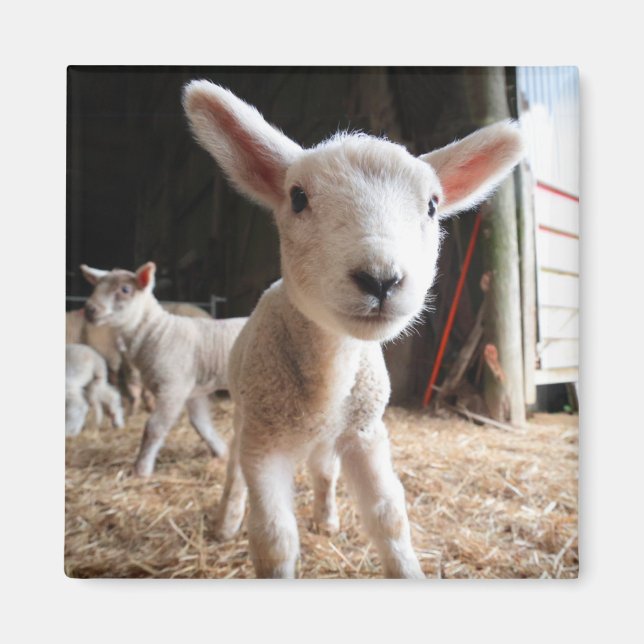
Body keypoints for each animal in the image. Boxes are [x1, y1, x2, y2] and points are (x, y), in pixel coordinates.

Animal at [80, 263, 247, 476]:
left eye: (125, 289)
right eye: (96, 286)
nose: (90, 309)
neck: (159, 332)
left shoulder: (173, 386)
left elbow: (154, 427)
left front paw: (142, 469)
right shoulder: (193, 390)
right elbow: (200, 423)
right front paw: (221, 451)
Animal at [182, 80, 524, 579]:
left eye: (432, 205)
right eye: (298, 197)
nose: (381, 279)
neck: (331, 370)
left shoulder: (365, 432)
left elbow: (389, 516)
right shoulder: (265, 444)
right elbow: (274, 539)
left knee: (324, 471)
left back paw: (326, 518)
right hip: (248, 415)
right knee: (234, 470)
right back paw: (226, 520)